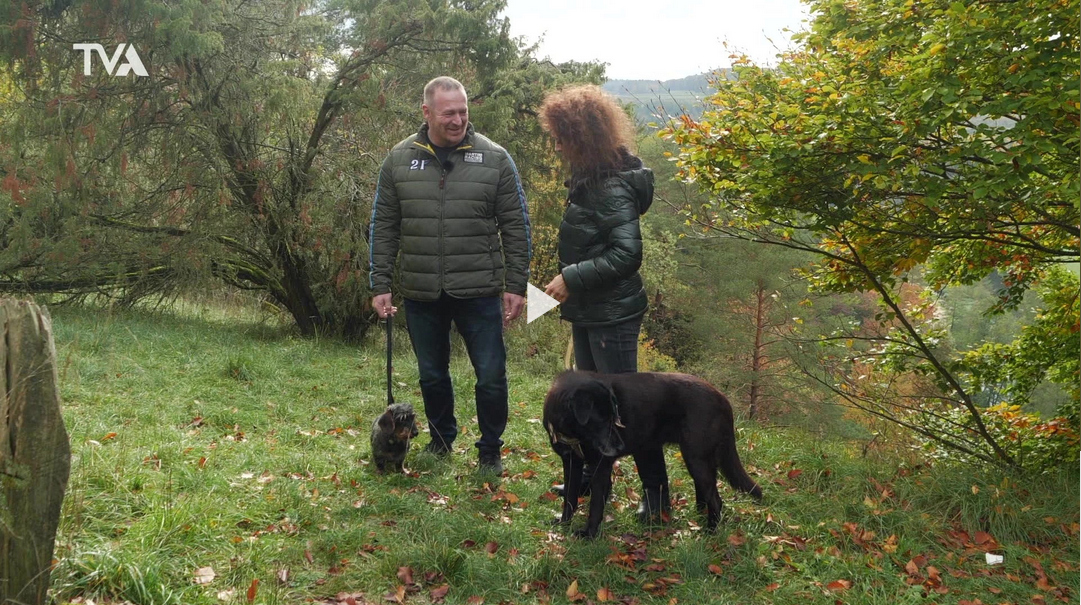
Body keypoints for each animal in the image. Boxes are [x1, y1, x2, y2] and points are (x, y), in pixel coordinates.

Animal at [544, 371, 765, 535]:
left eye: (614, 418)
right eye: (601, 420)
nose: (620, 447)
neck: (574, 435)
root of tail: (723, 399)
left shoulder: (601, 466)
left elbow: (596, 505)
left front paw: (588, 534)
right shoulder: (571, 462)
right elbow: (570, 497)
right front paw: (564, 523)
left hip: (695, 457)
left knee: (716, 499)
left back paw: (710, 531)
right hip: (700, 458)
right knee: (706, 490)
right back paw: (701, 516)